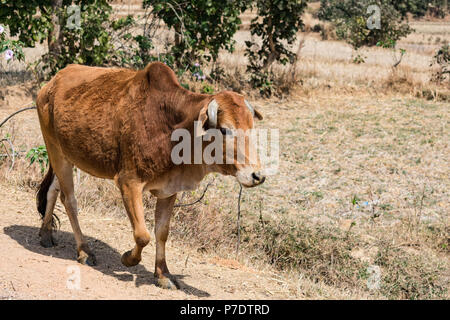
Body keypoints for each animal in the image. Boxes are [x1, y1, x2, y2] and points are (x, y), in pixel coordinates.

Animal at [37, 61, 268, 288]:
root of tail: (52, 82)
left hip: (66, 155)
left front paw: (163, 274)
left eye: (251, 127)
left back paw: (46, 234)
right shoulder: (129, 183)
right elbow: (142, 235)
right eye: (225, 129)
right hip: (56, 150)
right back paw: (84, 250)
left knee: (52, 190)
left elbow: (161, 232)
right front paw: (128, 259)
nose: (257, 175)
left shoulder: (169, 189)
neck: (174, 130)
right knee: (69, 200)